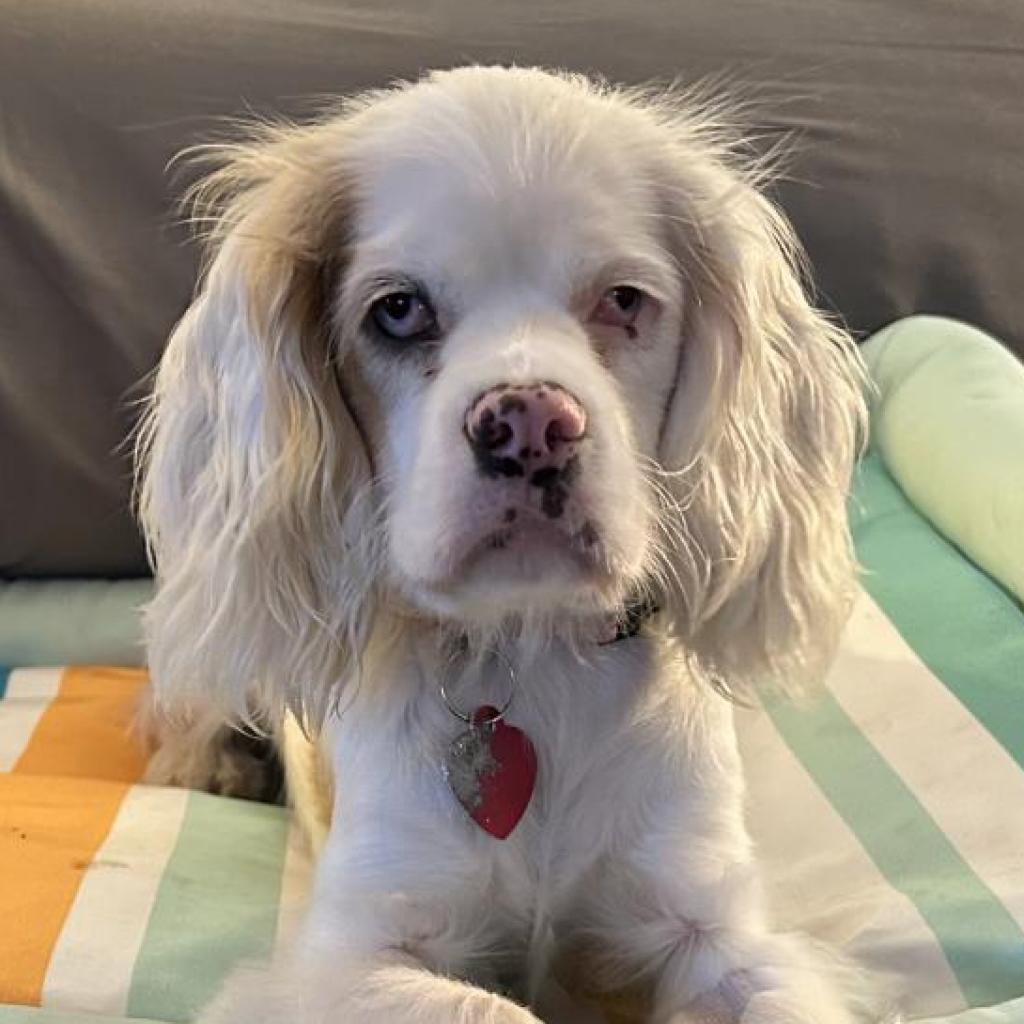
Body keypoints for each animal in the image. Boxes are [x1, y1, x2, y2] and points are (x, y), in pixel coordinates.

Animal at [134, 66, 872, 1024]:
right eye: (398, 310)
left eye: (624, 300)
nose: (529, 425)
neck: (532, 652)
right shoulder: (342, 956)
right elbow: (491, 1007)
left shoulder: (712, 919)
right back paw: (205, 764)